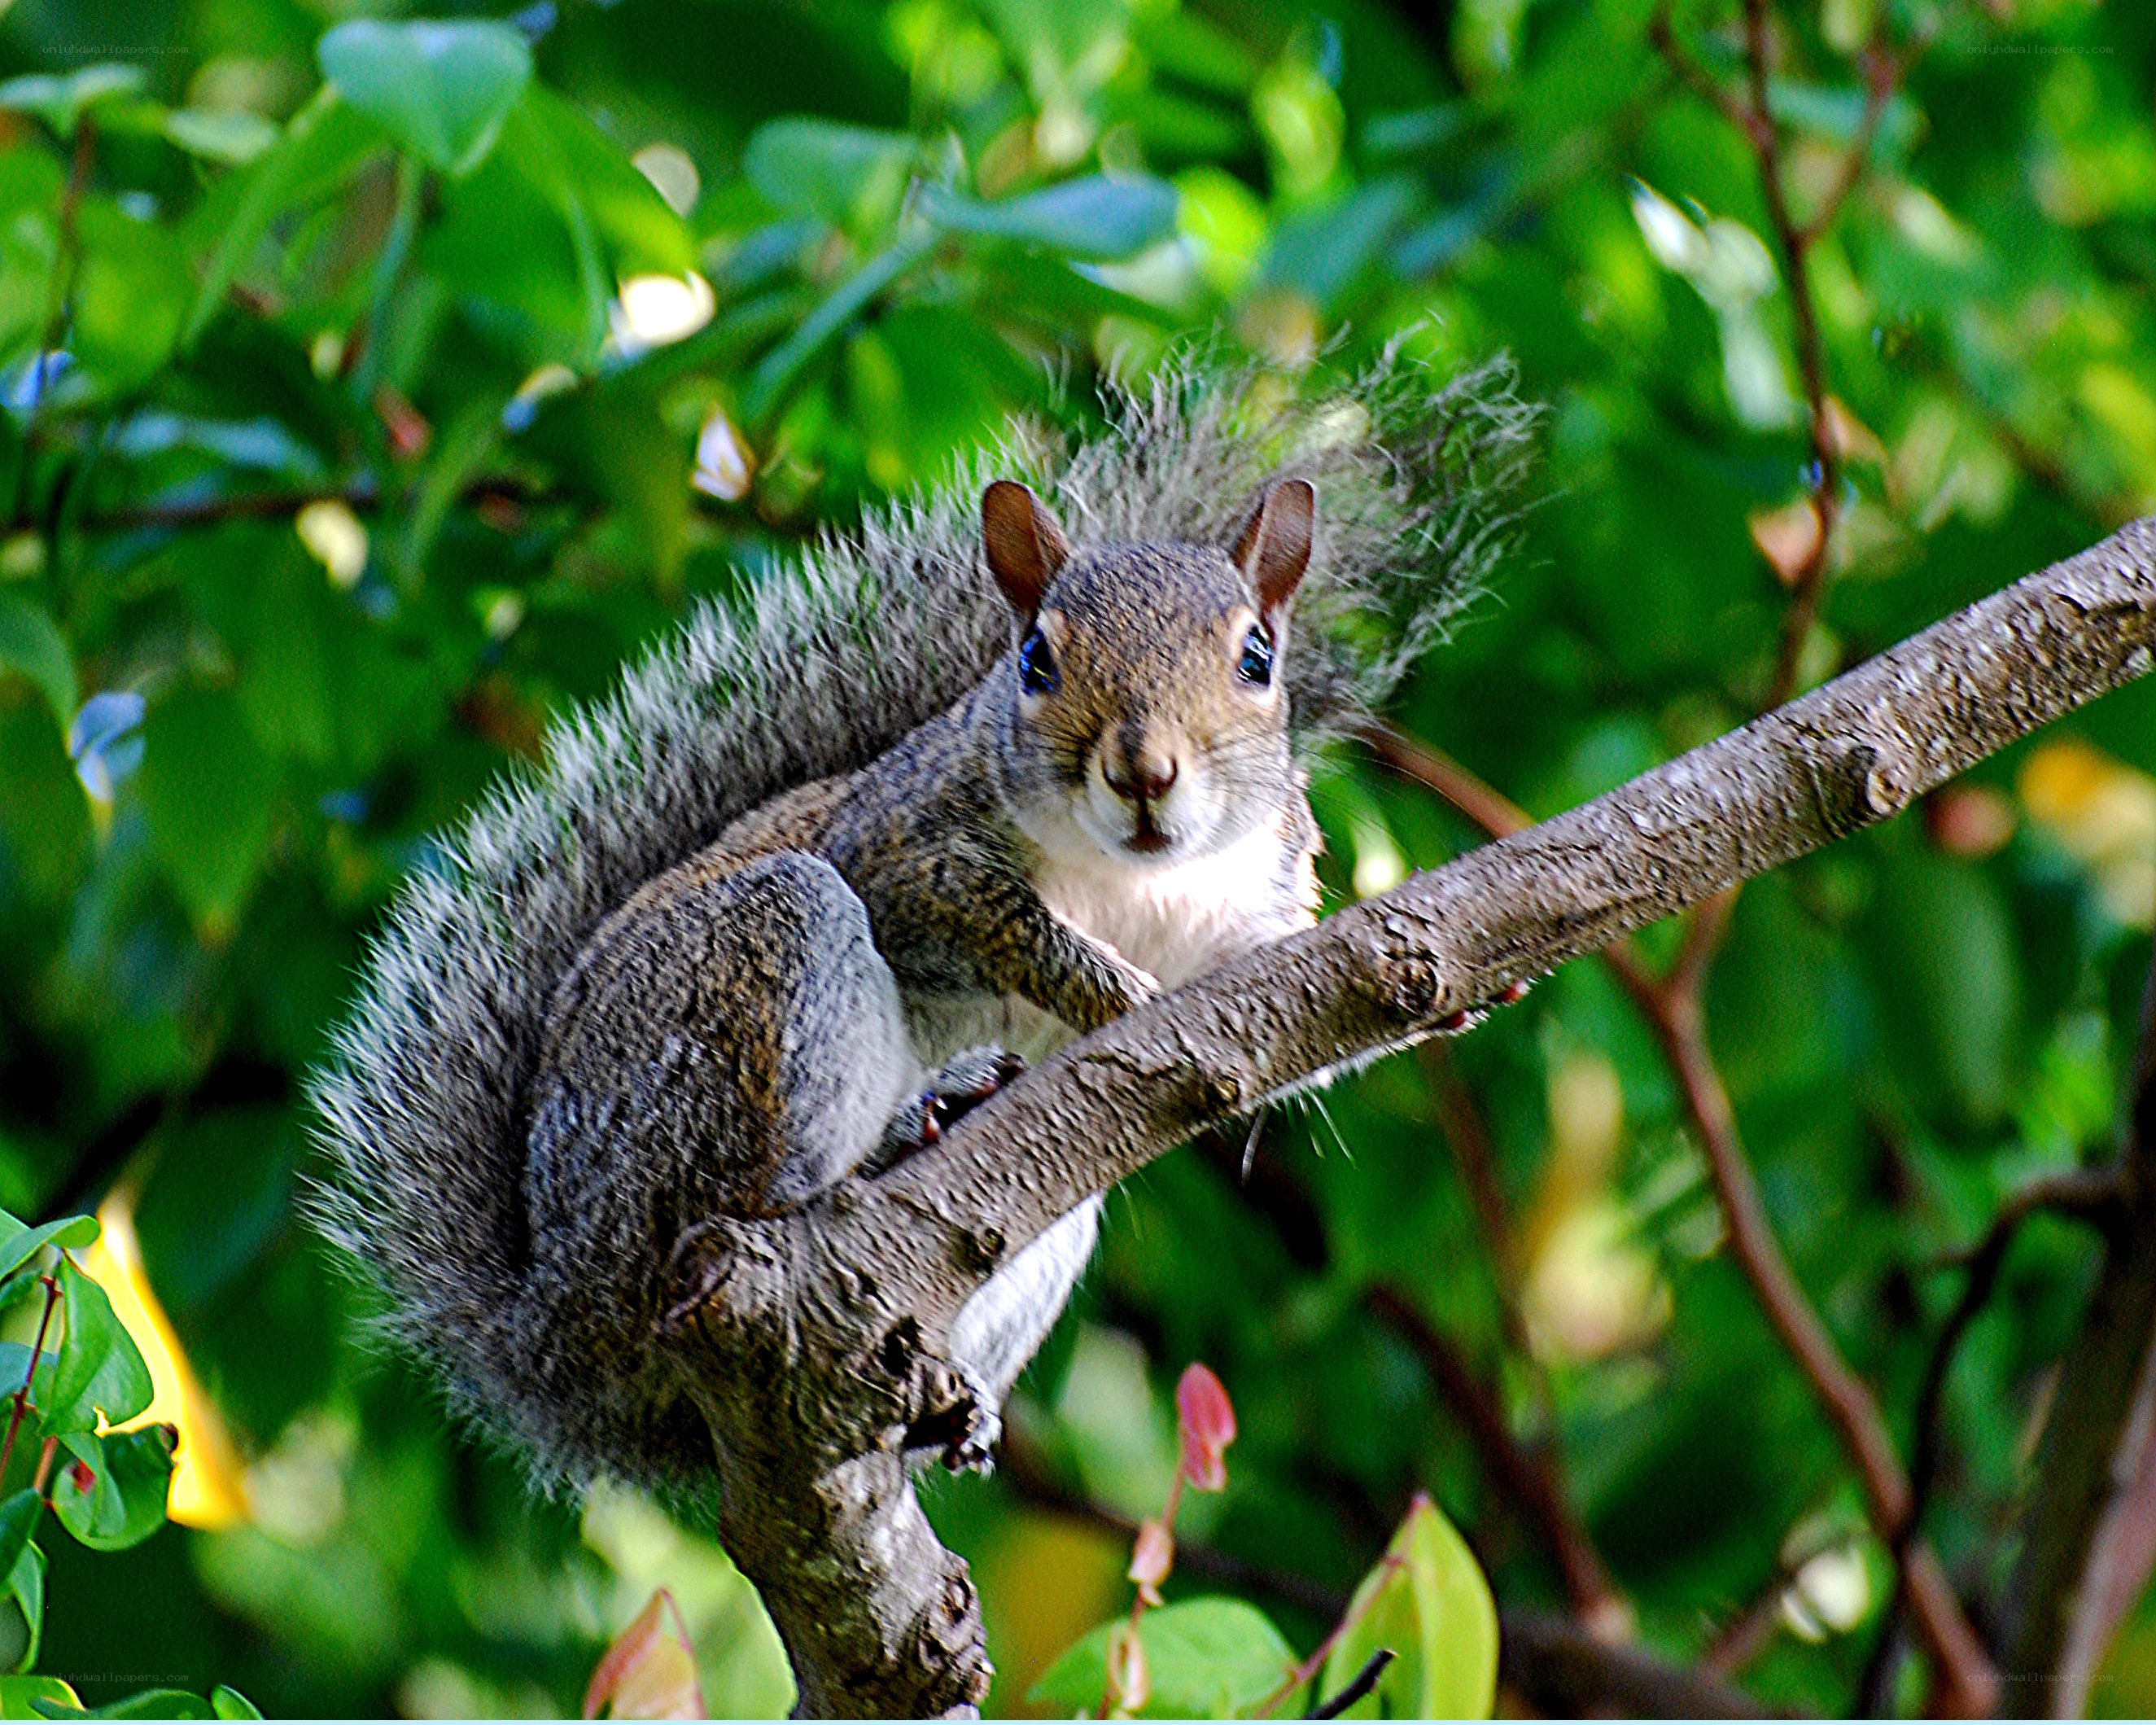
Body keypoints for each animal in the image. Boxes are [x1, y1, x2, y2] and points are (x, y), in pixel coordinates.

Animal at [308, 351, 1531, 1504]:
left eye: (1257, 658)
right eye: (1036, 658)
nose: (1144, 771)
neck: (1136, 882)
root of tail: (557, 1326)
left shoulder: (1254, 922)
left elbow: (1294, 1030)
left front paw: (1447, 998)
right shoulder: (897, 847)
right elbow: (992, 920)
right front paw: (1109, 991)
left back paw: (953, 1403)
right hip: (730, 1006)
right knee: (736, 1197)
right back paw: (898, 1132)